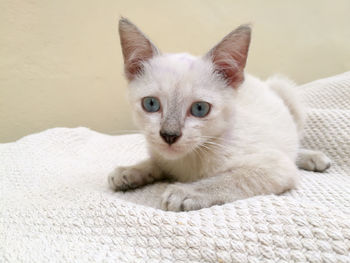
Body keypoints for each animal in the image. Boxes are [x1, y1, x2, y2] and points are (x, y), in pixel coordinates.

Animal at [107, 18, 330, 212]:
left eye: (200, 109)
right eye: (151, 104)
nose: (169, 135)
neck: (188, 161)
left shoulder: (275, 167)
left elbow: (232, 179)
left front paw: (185, 192)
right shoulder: (163, 157)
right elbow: (155, 162)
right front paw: (128, 172)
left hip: (284, 89)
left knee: (294, 146)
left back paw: (315, 158)